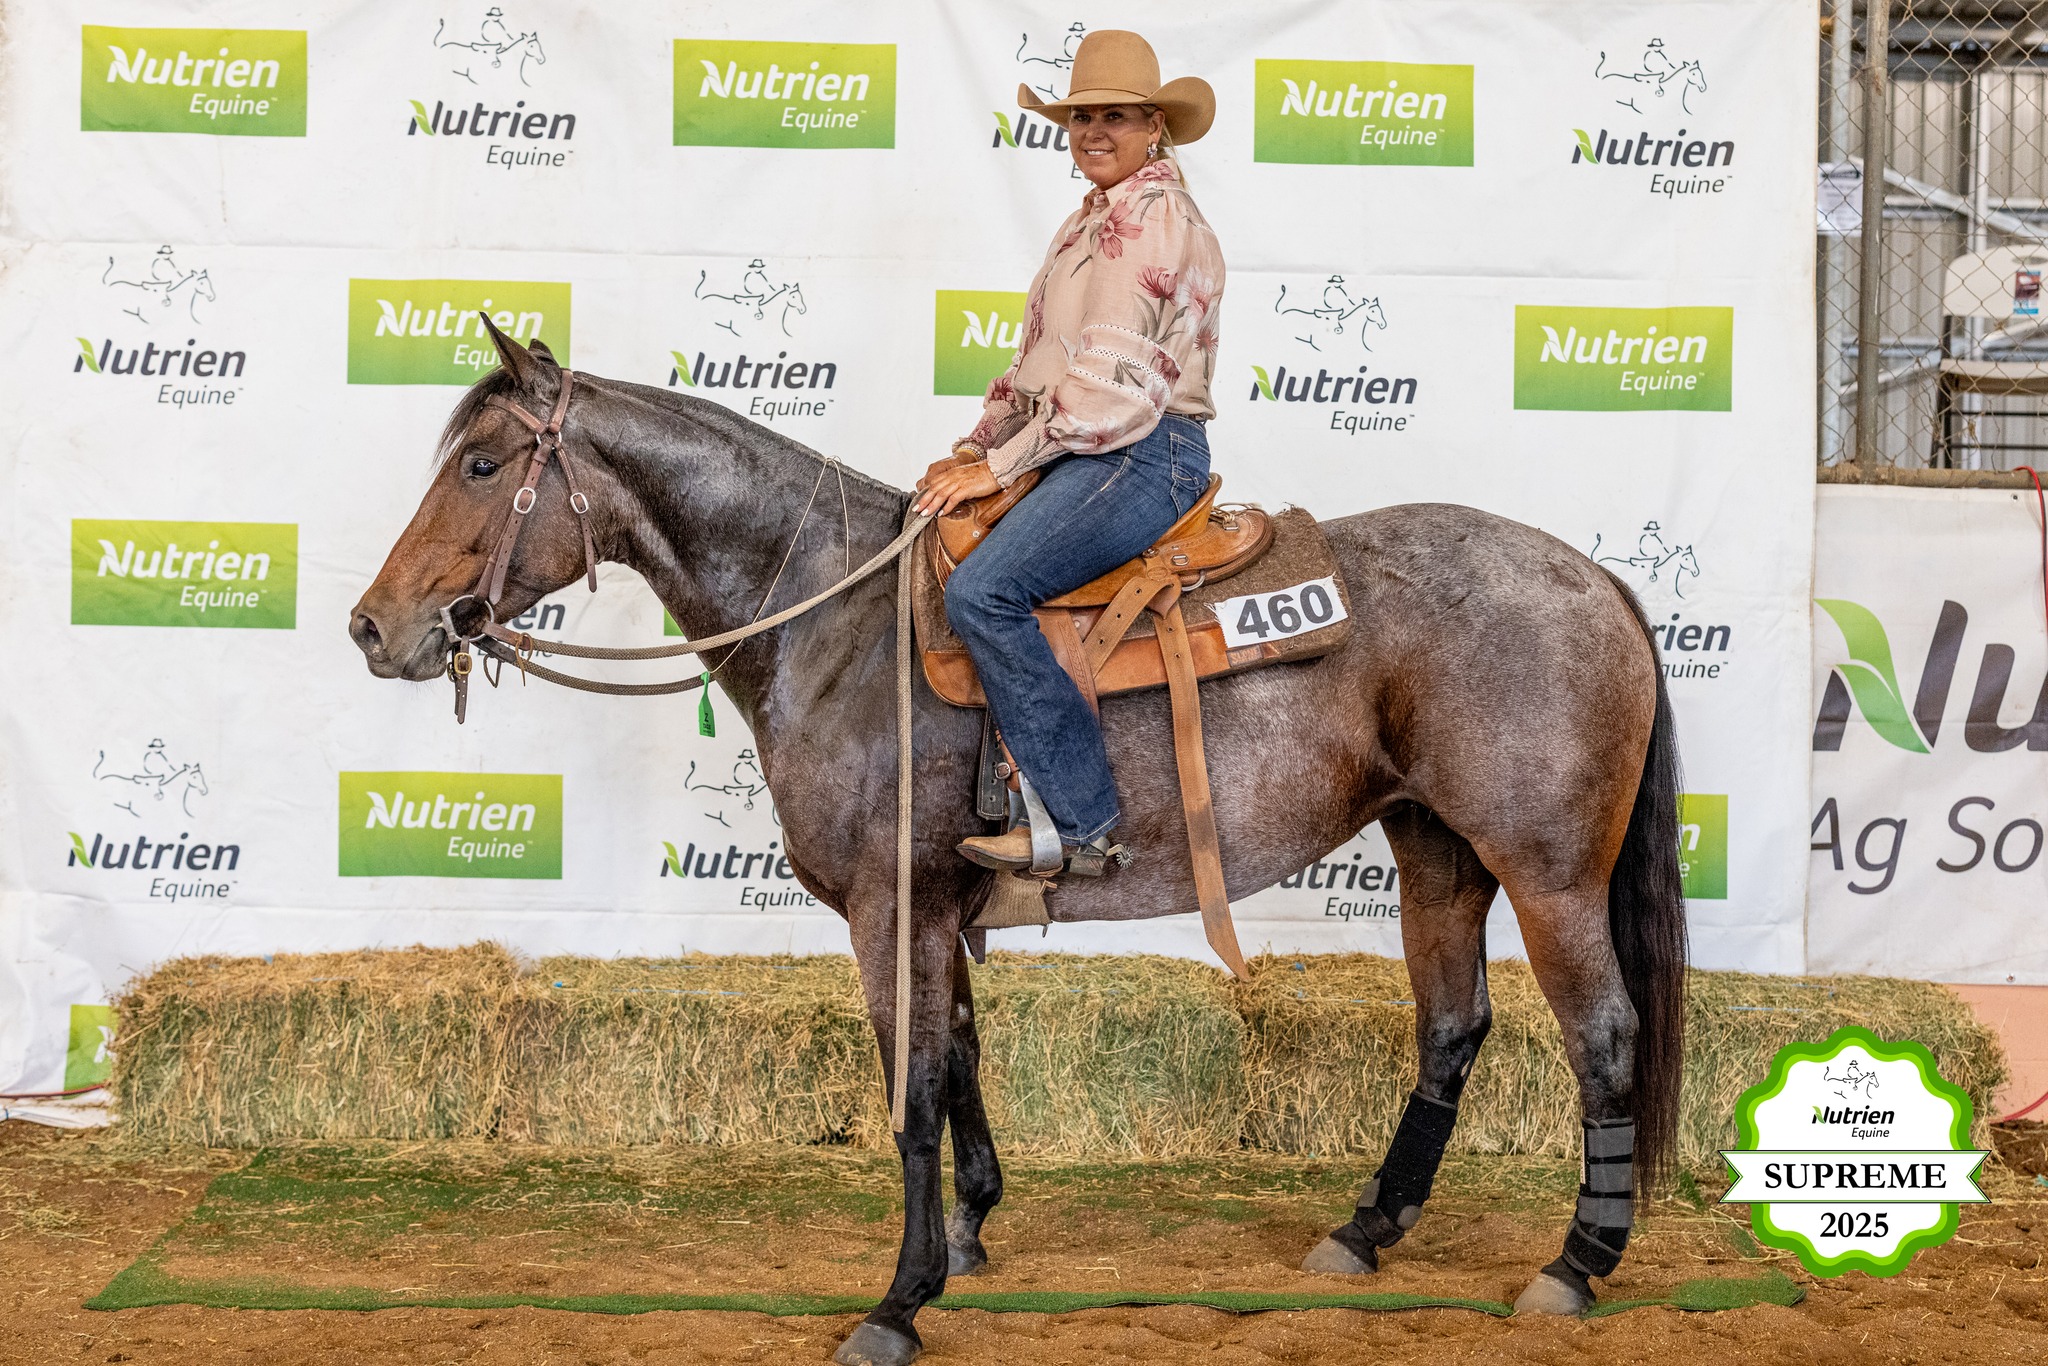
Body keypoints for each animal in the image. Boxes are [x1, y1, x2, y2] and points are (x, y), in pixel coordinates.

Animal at [350, 324, 1686, 1365]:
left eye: (483, 461)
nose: (374, 626)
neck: (841, 621)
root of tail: (1594, 580)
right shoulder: (938, 907)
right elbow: (959, 1059)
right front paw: (968, 1233)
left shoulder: (889, 906)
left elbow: (911, 1094)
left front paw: (897, 1301)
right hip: (1433, 851)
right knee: (1451, 1025)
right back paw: (1363, 1231)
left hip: (1547, 871)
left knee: (1602, 1034)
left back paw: (1576, 1260)